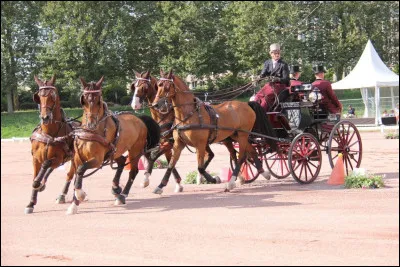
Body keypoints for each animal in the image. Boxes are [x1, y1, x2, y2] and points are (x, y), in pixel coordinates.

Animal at [25, 75, 79, 214]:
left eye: (52, 96)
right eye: (38, 96)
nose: (45, 117)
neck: (49, 134)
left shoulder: (58, 158)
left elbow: (46, 165)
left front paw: (39, 183)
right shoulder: (35, 159)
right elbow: (35, 178)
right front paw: (31, 203)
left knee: (71, 174)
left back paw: (64, 195)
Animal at [66, 76, 159, 216]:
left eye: (99, 101)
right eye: (83, 100)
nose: (91, 124)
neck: (91, 132)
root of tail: (140, 119)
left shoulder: (97, 160)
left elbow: (81, 169)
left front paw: (80, 194)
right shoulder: (77, 159)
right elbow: (78, 173)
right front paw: (74, 204)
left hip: (135, 150)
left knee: (133, 171)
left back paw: (122, 195)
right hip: (114, 151)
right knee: (121, 161)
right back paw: (115, 187)